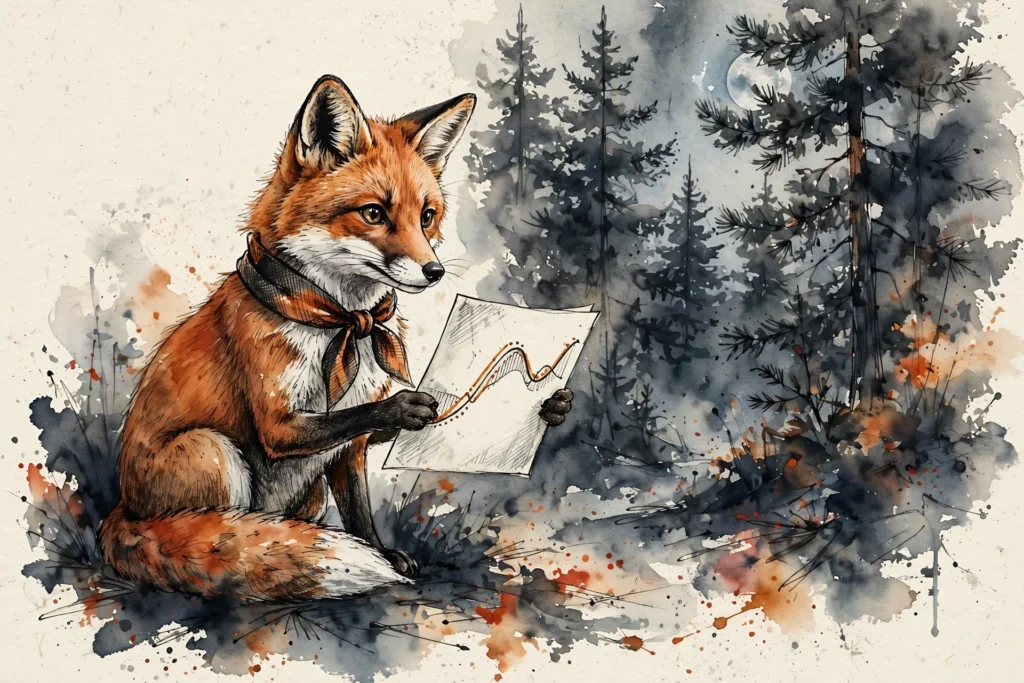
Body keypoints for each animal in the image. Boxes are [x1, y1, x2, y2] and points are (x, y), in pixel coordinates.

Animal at [98, 75, 574, 602]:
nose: (434, 271)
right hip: (212, 451)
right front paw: (403, 406)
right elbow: (352, 416)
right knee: (213, 529)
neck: (342, 323)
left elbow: (359, 510)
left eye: (426, 216)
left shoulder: (350, 450)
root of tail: (123, 512)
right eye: (373, 213)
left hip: (305, 493)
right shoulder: (278, 424)